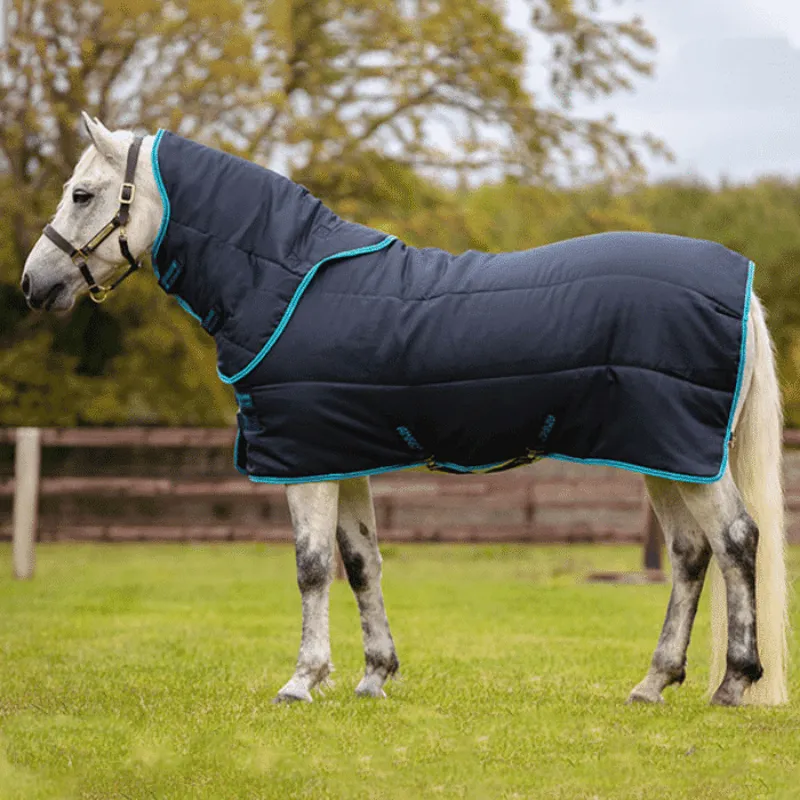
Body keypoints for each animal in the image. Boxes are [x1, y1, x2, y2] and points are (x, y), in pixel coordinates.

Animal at [21, 113, 788, 706]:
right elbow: (362, 563)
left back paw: (733, 683)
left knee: (735, 540)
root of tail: (742, 284)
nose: (33, 284)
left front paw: (302, 681)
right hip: (664, 455)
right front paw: (373, 677)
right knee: (691, 553)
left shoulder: (304, 462)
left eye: (82, 194)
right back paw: (653, 683)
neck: (284, 280)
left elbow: (311, 567)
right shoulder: (340, 456)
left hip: (682, 454)